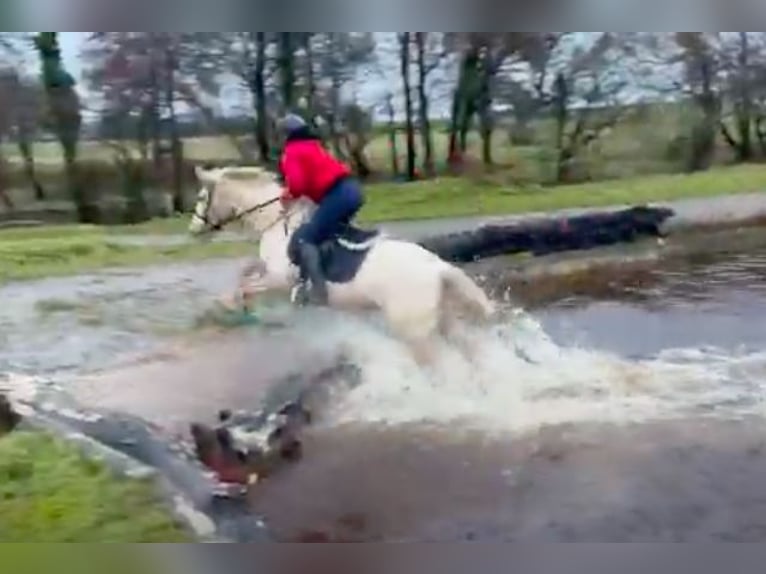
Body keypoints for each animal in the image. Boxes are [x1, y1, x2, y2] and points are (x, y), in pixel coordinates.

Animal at [189, 166, 496, 364]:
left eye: (202, 197)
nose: (193, 231)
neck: (275, 222)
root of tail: (438, 268)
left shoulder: (280, 280)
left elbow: (244, 288)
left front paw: (228, 311)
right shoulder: (270, 275)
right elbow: (245, 275)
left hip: (414, 331)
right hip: (444, 322)